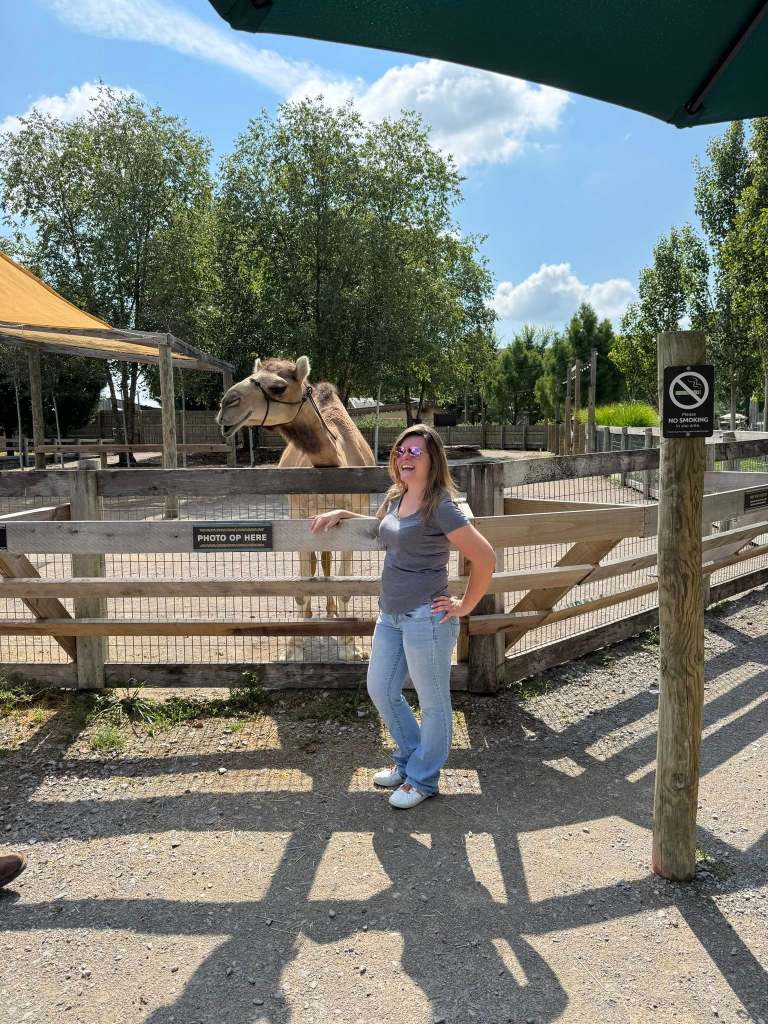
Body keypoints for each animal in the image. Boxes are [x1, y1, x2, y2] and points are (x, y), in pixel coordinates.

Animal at [216, 355, 375, 659]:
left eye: (278, 387)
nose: (226, 405)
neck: (334, 463)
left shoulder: (353, 518)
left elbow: (346, 586)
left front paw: (351, 648)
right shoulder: (299, 516)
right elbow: (301, 584)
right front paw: (294, 649)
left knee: (325, 562)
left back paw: (331, 613)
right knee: (315, 563)